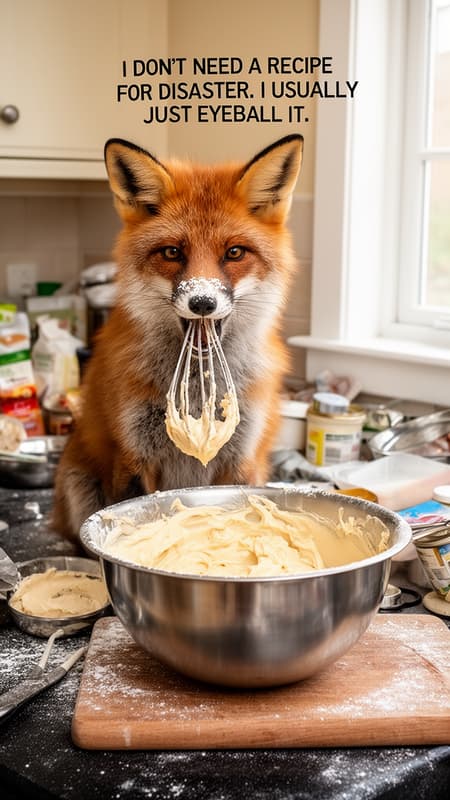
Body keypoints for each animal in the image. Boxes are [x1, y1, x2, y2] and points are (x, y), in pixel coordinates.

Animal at [52, 134, 303, 539]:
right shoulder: (134, 454)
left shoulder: (241, 458)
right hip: (79, 486)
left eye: (234, 252)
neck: (199, 394)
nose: (202, 302)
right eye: (172, 252)